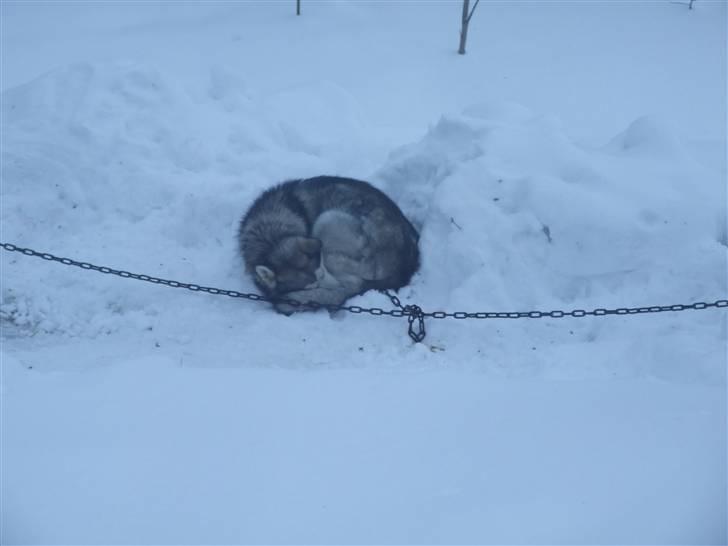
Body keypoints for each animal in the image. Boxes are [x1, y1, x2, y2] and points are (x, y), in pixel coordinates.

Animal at [238, 176, 419, 312]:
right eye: (311, 286)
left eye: (321, 271)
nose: (331, 286)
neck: (269, 236)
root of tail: (405, 266)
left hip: (327, 219)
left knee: (354, 283)